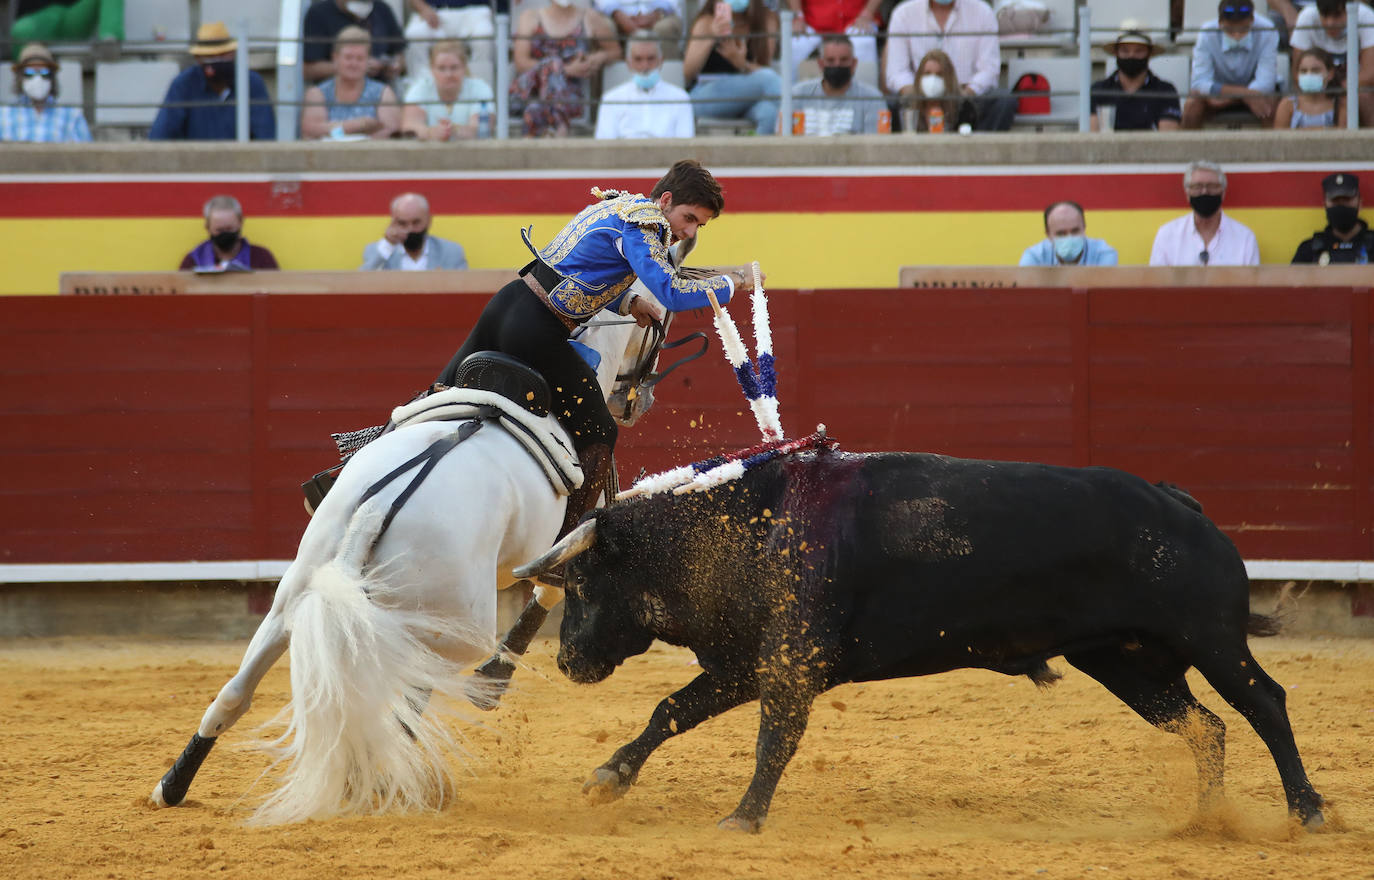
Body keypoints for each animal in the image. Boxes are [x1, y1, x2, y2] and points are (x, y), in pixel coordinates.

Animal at [147, 295, 697, 825]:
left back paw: (172, 787)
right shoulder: (575, 543)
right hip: (452, 630)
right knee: (402, 702)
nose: (639, 402)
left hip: (294, 599)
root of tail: (375, 511)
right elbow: (547, 590)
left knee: (236, 693)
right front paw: (491, 684)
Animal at [516, 451, 1330, 836]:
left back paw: (1307, 811)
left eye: (582, 580)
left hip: (1211, 640)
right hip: (1124, 662)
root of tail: (1178, 501)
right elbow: (671, 711)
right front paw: (607, 778)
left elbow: (772, 740)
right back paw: (1208, 818)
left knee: (1264, 704)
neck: (741, 528)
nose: (566, 660)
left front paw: (744, 817)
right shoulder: (749, 662)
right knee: (1206, 726)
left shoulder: (791, 666)